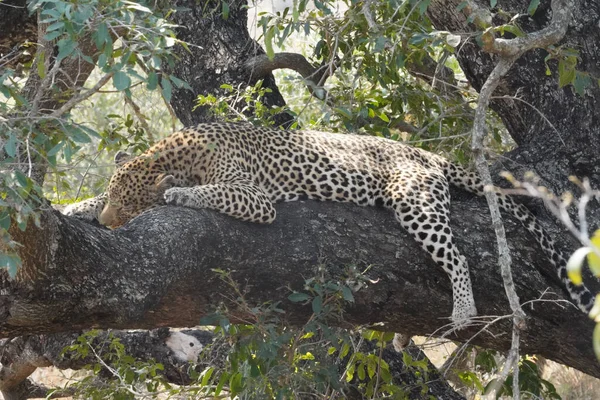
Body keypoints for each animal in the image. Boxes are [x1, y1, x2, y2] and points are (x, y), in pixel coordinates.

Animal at [65, 121, 596, 324]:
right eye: (115, 201)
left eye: (129, 209)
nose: (111, 224)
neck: (176, 151)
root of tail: (425, 153)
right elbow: (90, 198)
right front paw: (72, 208)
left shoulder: (256, 198)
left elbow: (210, 192)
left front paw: (175, 194)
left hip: (414, 201)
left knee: (459, 255)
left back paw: (463, 310)